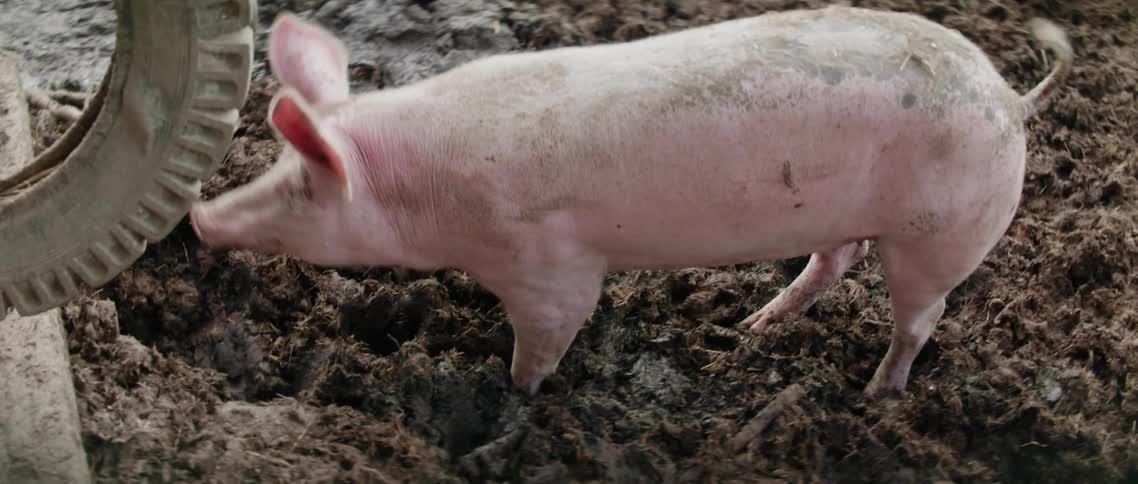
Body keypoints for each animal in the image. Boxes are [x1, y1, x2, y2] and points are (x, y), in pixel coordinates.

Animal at [189, 6, 1073, 398]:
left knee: (922, 315)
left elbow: (552, 334)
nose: (198, 218)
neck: (429, 192)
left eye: (302, 187)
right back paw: (752, 327)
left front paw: (513, 393)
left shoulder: (547, 265)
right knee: (833, 260)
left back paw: (875, 393)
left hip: (942, 232)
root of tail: (1011, 98)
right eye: (279, 165)